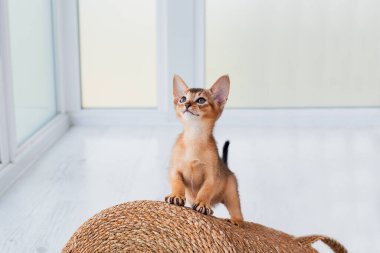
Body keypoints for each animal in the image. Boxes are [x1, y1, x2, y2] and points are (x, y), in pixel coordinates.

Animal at [164, 73, 243, 225]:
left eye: (201, 100)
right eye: (183, 99)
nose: (187, 104)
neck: (194, 137)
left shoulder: (211, 176)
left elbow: (205, 190)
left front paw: (202, 204)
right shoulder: (175, 169)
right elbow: (177, 183)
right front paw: (176, 196)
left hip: (231, 193)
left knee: (238, 211)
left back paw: (236, 221)